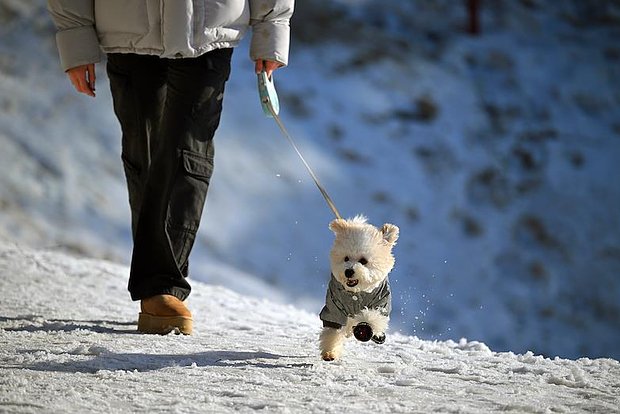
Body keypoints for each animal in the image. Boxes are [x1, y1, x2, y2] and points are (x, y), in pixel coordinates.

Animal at [318, 215, 400, 360]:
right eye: (346, 258)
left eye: (363, 261)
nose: (348, 271)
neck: (356, 292)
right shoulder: (333, 306)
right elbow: (333, 330)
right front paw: (330, 351)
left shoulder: (381, 302)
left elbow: (372, 317)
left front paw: (363, 328)